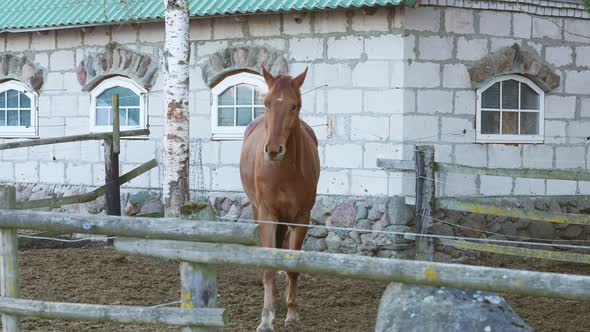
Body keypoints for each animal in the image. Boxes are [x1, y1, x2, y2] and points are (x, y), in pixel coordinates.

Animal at [240, 66, 322, 330]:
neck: (283, 171)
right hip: (258, 211)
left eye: (294, 105)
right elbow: (269, 267)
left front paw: (292, 312)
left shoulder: (301, 218)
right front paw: (266, 318)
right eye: (266, 103)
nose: (274, 150)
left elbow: (292, 266)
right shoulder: (267, 215)